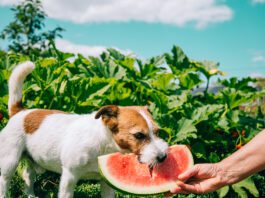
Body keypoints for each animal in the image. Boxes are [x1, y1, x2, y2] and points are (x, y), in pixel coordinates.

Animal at [0, 62, 168, 198]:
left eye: (158, 132)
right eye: (139, 135)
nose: (163, 157)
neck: (103, 143)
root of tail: (20, 111)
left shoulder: (107, 184)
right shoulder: (69, 177)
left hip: (32, 159)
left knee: (28, 175)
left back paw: (30, 194)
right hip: (10, 160)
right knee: (4, 181)